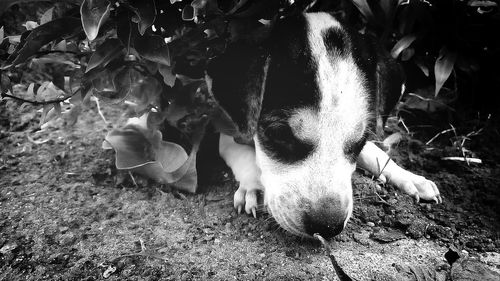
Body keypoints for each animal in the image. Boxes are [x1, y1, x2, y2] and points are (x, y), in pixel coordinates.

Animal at [205, 12, 440, 237]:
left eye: (361, 140)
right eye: (279, 134)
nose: (327, 227)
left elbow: (376, 152)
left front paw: (409, 177)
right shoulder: (224, 128)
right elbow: (243, 155)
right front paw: (252, 187)